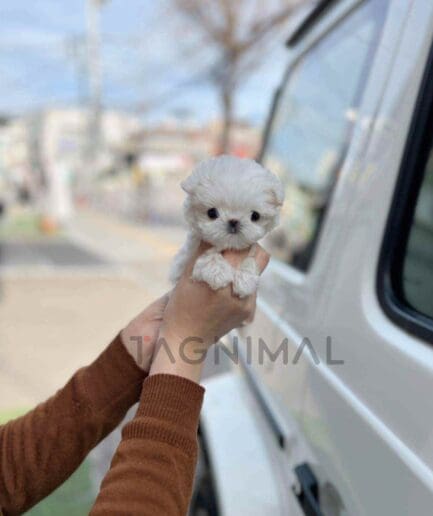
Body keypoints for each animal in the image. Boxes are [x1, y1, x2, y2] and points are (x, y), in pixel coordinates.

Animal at [169, 155, 284, 296]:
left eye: (255, 216)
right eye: (212, 213)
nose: (233, 221)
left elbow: (250, 260)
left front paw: (245, 280)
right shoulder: (182, 263)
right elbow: (210, 254)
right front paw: (217, 273)